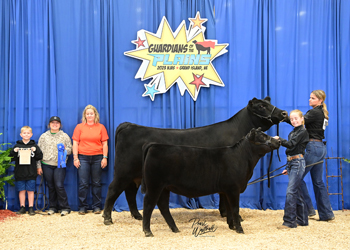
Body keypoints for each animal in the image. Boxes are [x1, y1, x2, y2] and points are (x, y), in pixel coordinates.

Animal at [103, 96, 288, 225]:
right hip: (123, 171)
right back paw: (107, 218)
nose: (284, 113)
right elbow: (226, 196)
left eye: (269, 103)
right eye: (261, 106)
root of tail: (129, 125)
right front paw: (234, 216)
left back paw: (137, 215)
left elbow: (223, 195)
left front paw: (224, 213)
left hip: (134, 175)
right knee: (113, 189)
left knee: (129, 192)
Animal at [141, 129, 280, 236]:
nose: (278, 141)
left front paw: (232, 227)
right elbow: (235, 209)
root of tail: (154, 145)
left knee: (163, 206)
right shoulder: (233, 189)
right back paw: (148, 231)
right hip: (154, 185)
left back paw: (175, 229)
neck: (242, 157)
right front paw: (240, 229)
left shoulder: (226, 190)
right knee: (148, 204)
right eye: (263, 136)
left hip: (165, 187)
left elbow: (229, 209)